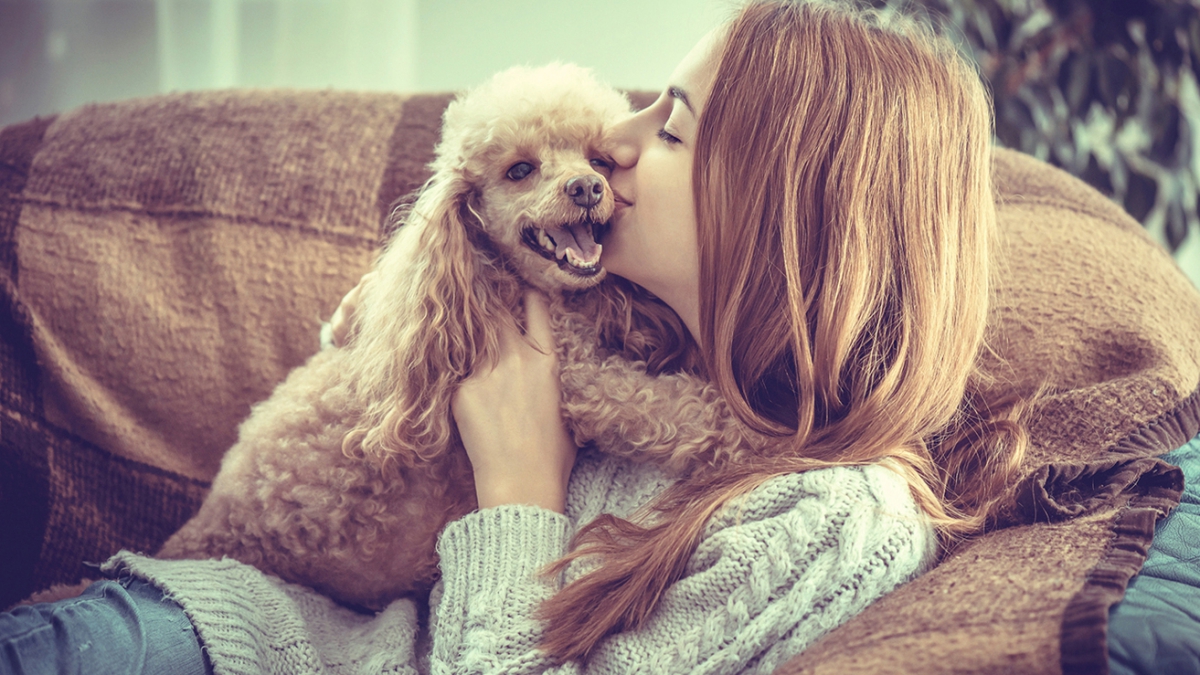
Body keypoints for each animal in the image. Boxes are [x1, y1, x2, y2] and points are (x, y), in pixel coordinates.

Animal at [157, 64, 768, 610]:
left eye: (597, 160)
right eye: (520, 170)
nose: (588, 187)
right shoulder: (581, 380)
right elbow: (680, 407)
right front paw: (758, 434)